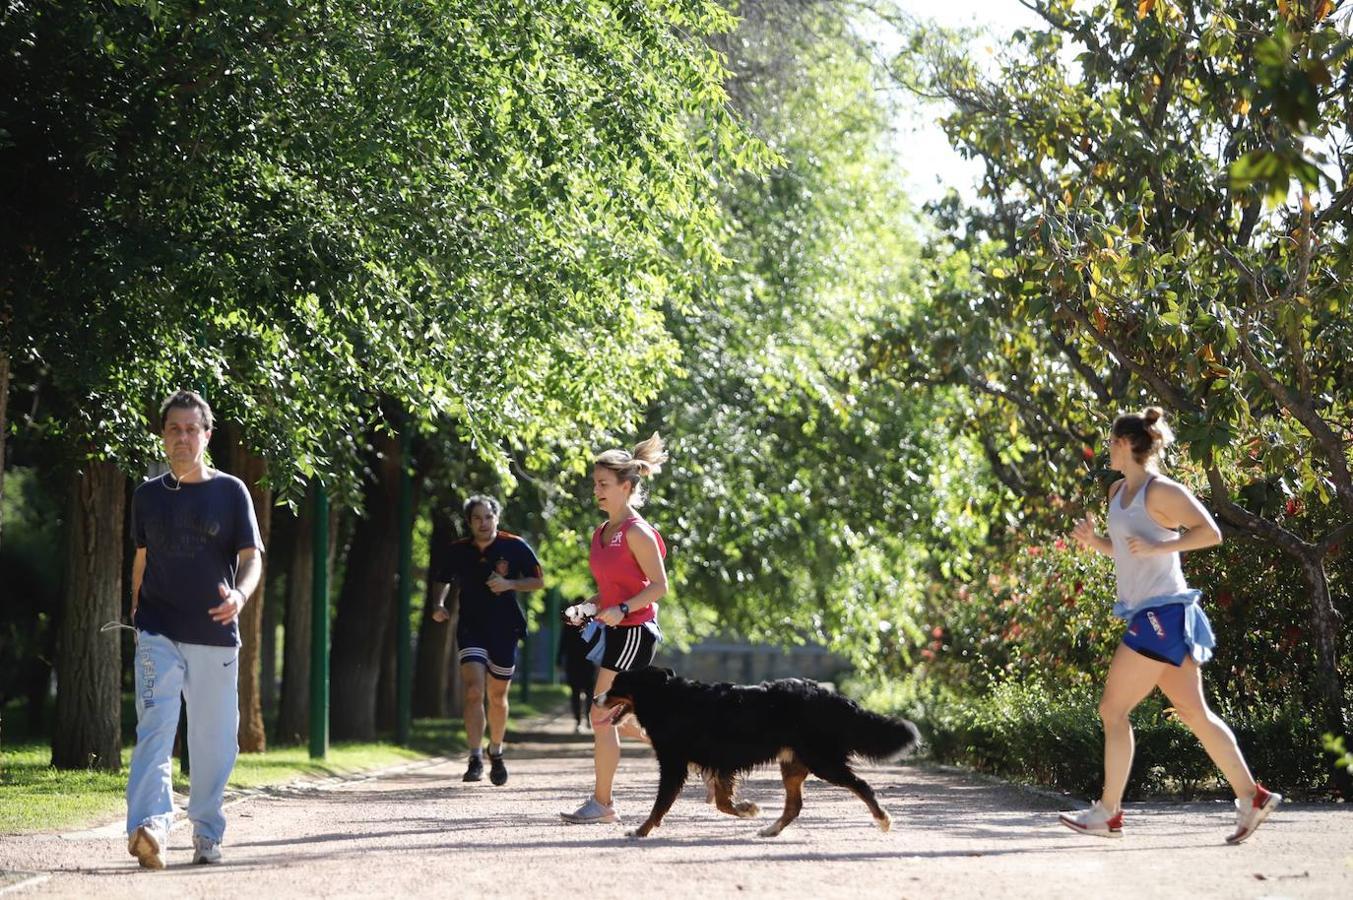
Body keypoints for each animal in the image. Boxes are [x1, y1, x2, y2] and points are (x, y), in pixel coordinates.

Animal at [600, 663, 925, 839]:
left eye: (616, 685)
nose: (596, 698)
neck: (666, 699)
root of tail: (829, 695)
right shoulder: (720, 764)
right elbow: (722, 803)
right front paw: (747, 809)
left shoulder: (674, 763)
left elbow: (660, 805)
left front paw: (640, 831)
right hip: (793, 764)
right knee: (794, 806)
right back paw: (771, 830)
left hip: (823, 761)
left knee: (861, 785)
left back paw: (883, 819)